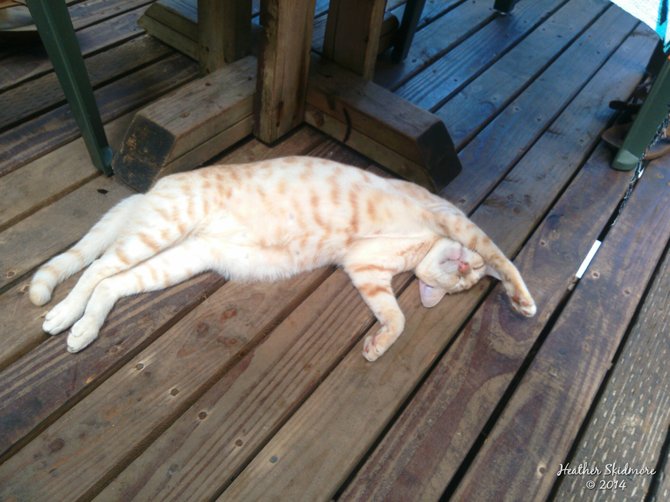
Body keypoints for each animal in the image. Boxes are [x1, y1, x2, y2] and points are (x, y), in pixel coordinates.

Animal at [30, 157, 536, 360]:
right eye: (464, 275)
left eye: (458, 286)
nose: (465, 271)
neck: (416, 248)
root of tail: (150, 190)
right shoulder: (452, 221)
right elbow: (504, 259)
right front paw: (523, 300)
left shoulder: (367, 272)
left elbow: (396, 318)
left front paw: (376, 346)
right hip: (159, 232)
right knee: (96, 269)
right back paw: (63, 315)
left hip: (176, 260)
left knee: (109, 284)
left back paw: (82, 330)